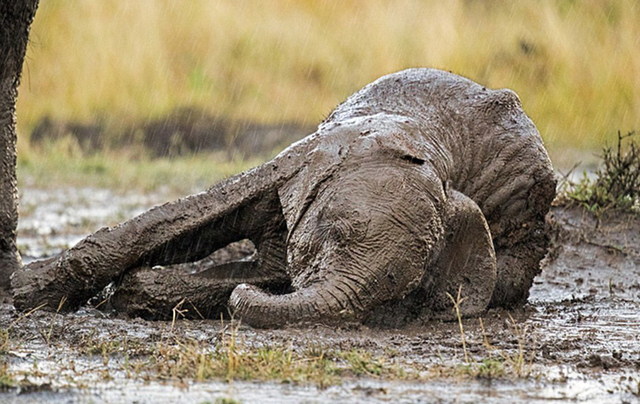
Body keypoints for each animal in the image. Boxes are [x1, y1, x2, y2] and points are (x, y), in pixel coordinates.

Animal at [12, 68, 556, 328]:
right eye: (334, 234)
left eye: (409, 285)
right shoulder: (299, 160)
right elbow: (190, 214)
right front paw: (25, 294)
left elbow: (265, 276)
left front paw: (133, 292)